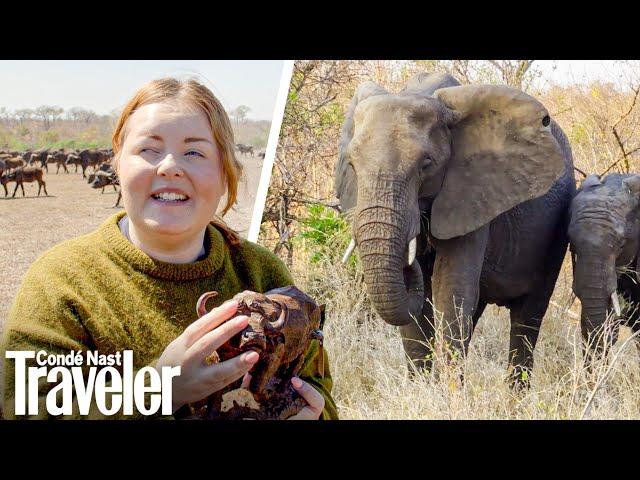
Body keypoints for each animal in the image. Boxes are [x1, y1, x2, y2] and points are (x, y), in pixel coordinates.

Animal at [336, 72, 576, 382]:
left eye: (426, 164)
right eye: (352, 165)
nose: (410, 265)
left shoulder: (473, 191)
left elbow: (450, 289)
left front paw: (446, 391)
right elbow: (424, 308)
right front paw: (422, 387)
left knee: (528, 315)